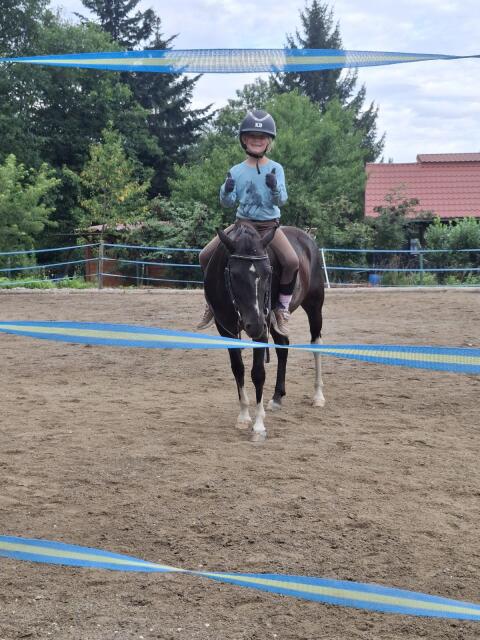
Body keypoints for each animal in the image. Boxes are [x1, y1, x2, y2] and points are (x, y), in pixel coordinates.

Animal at [203, 222, 325, 441]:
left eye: (269, 273)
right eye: (234, 274)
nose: (255, 324)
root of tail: (307, 237)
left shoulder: (262, 328)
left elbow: (258, 373)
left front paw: (259, 425)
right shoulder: (225, 328)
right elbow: (238, 368)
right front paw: (243, 416)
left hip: (313, 304)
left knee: (316, 344)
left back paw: (318, 396)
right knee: (283, 347)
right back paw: (277, 397)